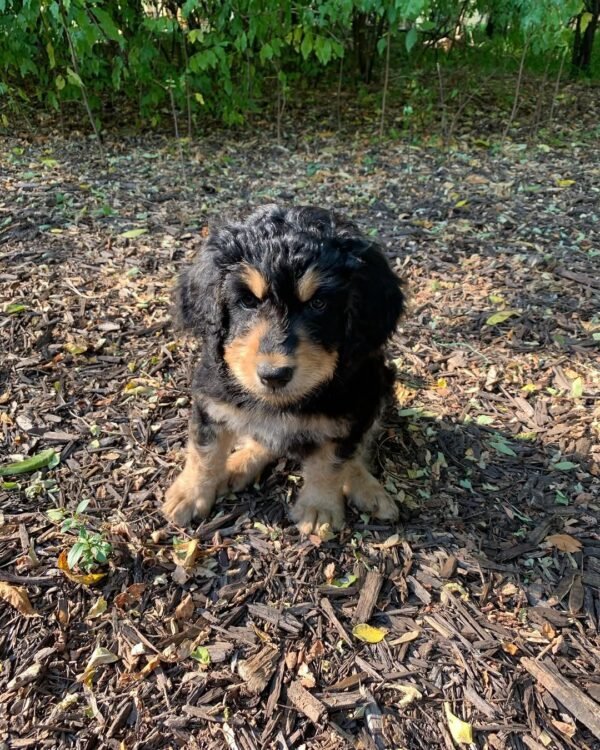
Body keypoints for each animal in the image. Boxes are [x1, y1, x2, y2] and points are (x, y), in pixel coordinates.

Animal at [162, 206, 406, 536]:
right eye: (248, 301)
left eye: (319, 303)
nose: (273, 375)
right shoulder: (211, 400)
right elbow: (205, 451)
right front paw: (190, 494)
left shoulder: (348, 415)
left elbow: (330, 463)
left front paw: (318, 508)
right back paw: (241, 463)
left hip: (377, 385)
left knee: (358, 449)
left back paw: (366, 487)